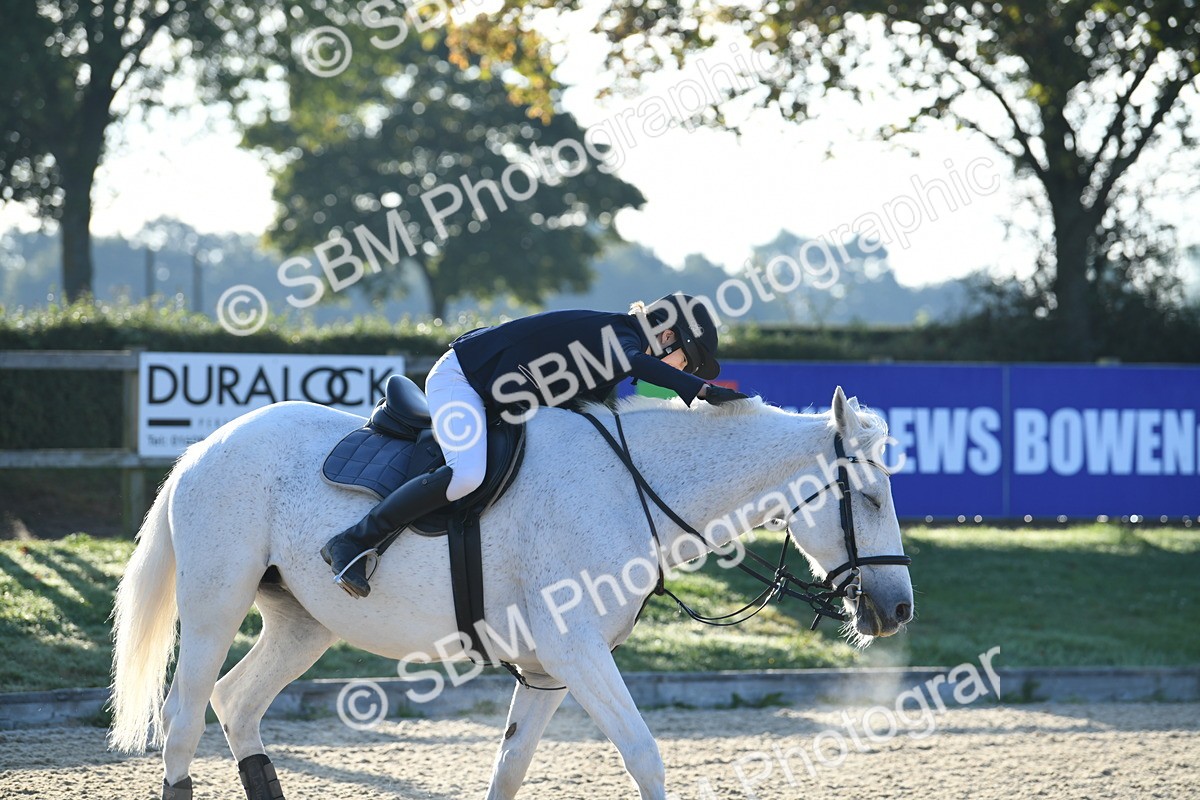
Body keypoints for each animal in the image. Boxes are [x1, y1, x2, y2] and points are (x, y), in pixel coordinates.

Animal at [109, 386, 914, 800]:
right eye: (872, 497)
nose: (899, 609)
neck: (631, 488)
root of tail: (205, 446)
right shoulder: (577, 650)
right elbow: (645, 755)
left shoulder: (549, 669)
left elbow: (511, 768)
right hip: (214, 609)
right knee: (184, 720)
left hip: (302, 625)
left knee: (238, 705)